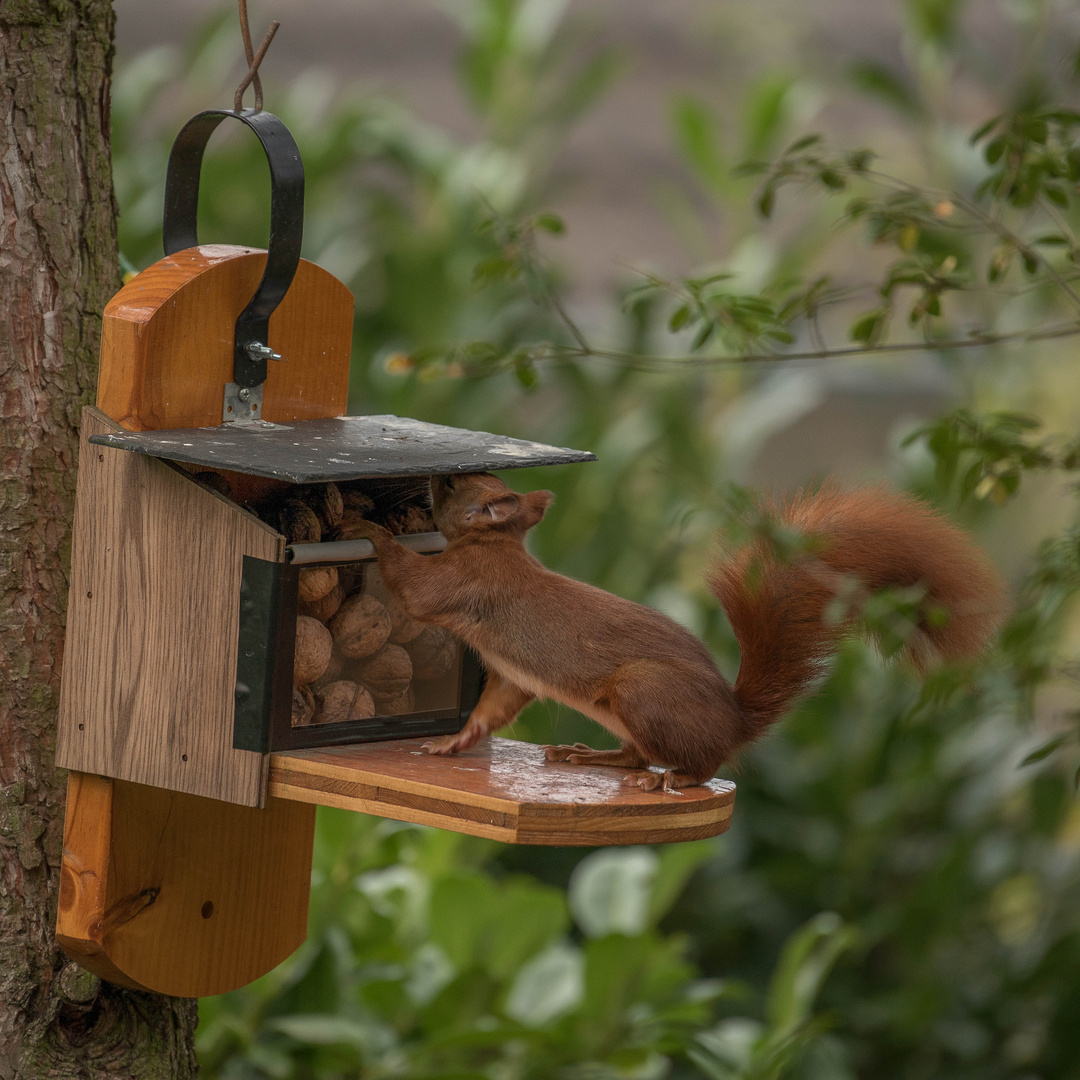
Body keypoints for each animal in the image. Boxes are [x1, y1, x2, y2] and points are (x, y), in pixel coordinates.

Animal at [352, 477, 1002, 790]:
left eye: (453, 486)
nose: (435, 477)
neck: (495, 543)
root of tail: (734, 723)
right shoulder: (511, 674)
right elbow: (493, 710)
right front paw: (452, 743)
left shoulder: (463, 583)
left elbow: (414, 589)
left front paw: (371, 531)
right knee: (637, 758)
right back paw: (590, 756)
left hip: (642, 692)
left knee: (696, 765)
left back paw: (676, 778)